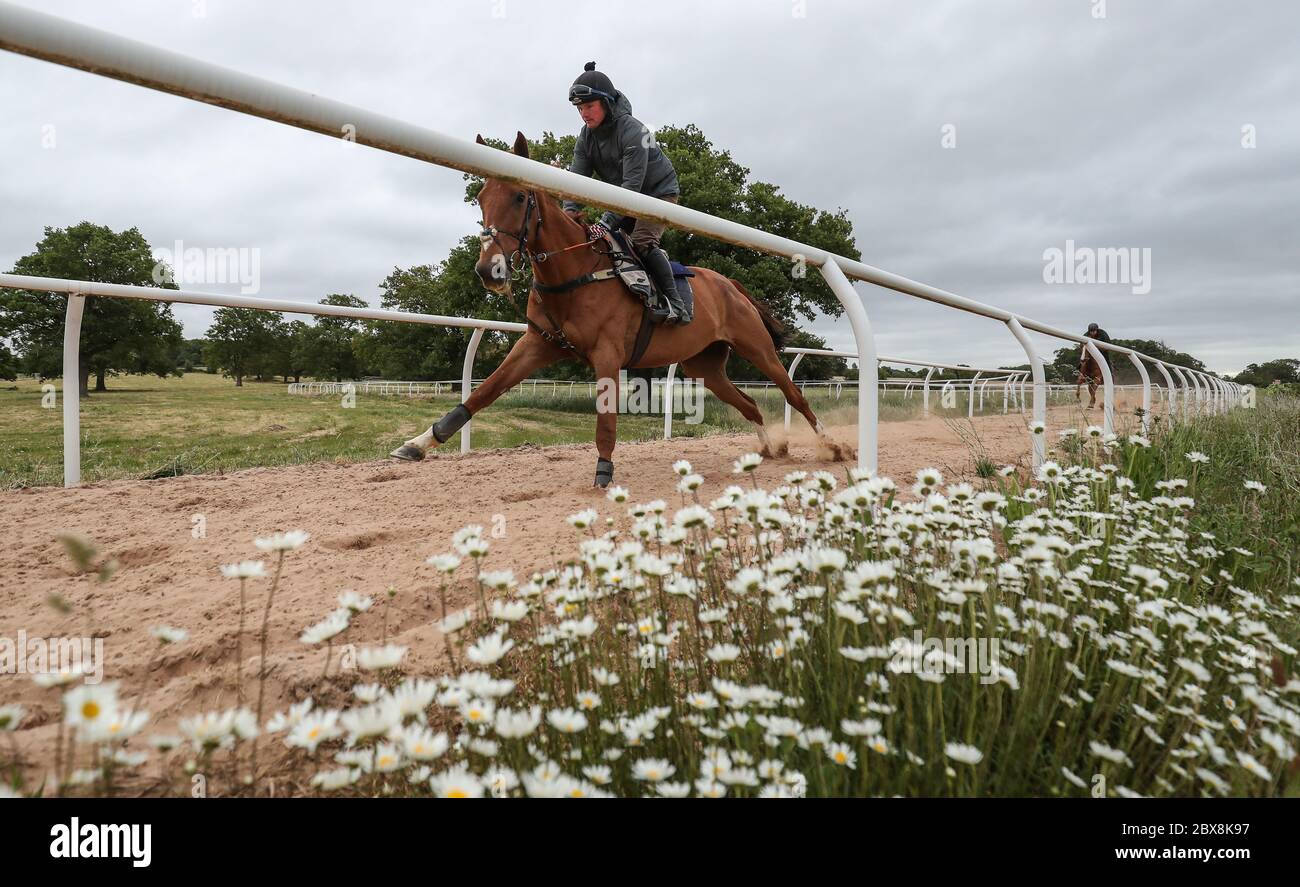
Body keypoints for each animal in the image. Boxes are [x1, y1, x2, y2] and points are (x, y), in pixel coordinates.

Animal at [390, 131, 847, 483]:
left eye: (520, 196)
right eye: (481, 197)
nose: (490, 269)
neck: (573, 273)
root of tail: (730, 284)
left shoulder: (608, 353)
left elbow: (606, 423)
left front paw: (603, 473)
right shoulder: (537, 344)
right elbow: (485, 391)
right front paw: (419, 443)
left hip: (757, 348)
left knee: (794, 394)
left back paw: (831, 445)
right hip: (705, 366)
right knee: (748, 403)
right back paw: (768, 449)